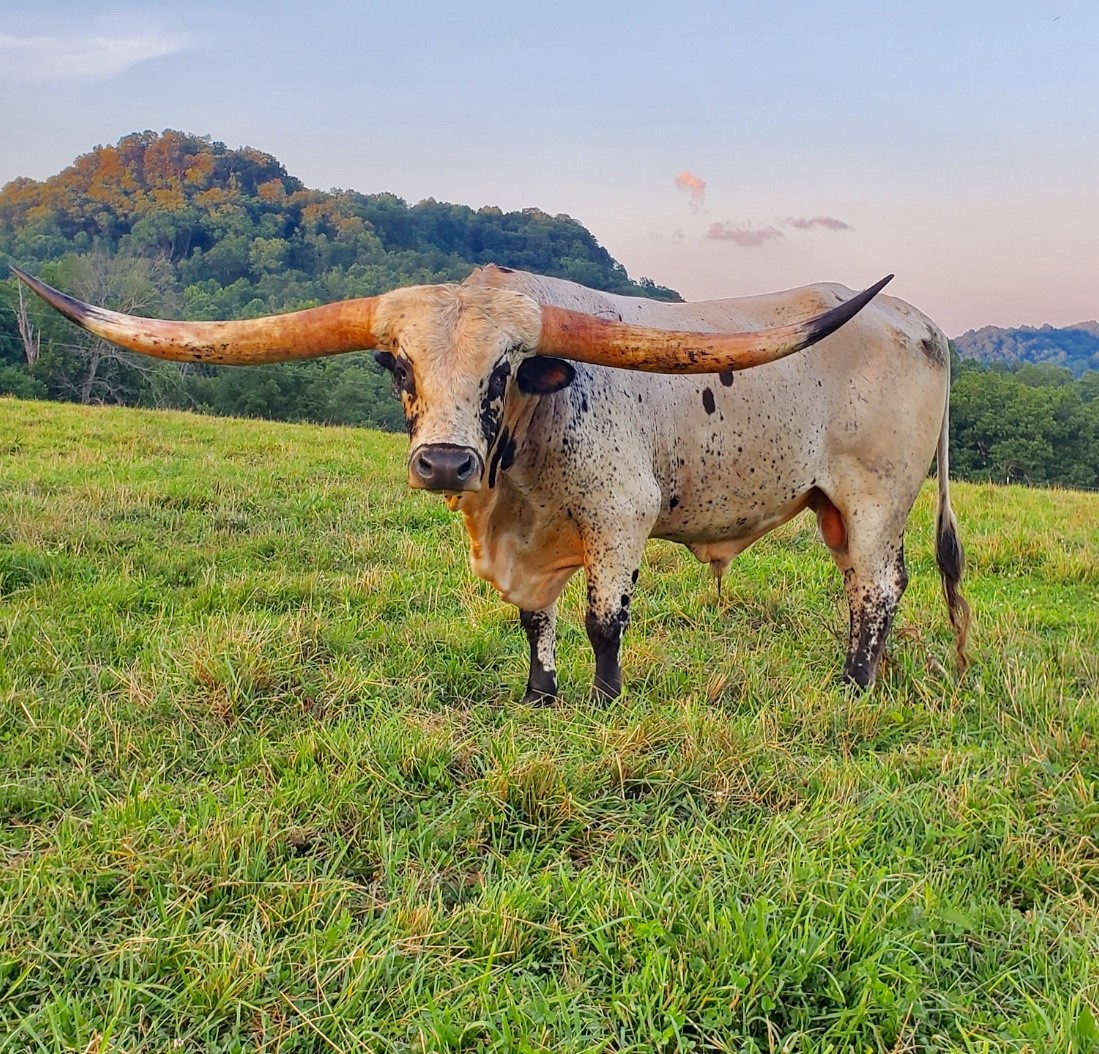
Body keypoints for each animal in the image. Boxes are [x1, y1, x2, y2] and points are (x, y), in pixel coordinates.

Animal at [11, 263, 970, 702]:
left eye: (505, 367)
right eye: (397, 363)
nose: (444, 462)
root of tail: (919, 322)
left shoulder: (620, 518)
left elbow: (601, 622)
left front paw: (603, 701)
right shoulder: (529, 544)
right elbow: (533, 621)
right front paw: (540, 696)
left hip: (875, 495)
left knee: (877, 588)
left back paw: (852, 684)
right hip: (833, 507)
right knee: (873, 583)